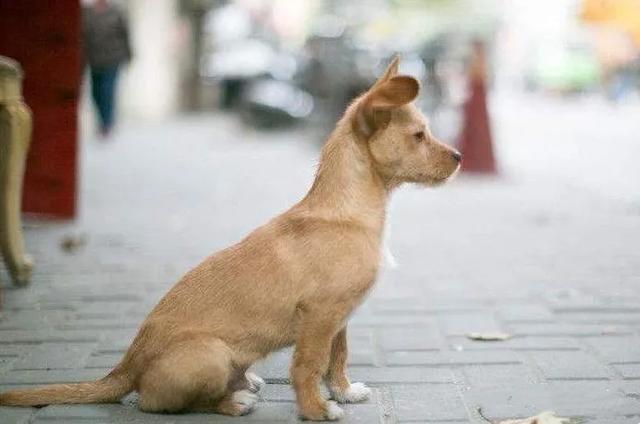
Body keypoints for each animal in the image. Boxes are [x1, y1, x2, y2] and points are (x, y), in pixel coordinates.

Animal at [0, 58, 460, 420]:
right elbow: (309, 365)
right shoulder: (320, 315)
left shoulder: (340, 317)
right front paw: (315, 409)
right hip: (210, 354)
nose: (458, 158)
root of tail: (126, 366)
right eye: (419, 136)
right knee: (158, 403)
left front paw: (344, 393)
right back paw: (232, 402)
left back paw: (247, 383)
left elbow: (337, 358)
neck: (348, 210)